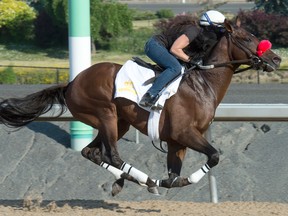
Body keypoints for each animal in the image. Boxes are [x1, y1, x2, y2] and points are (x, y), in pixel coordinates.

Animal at [0, 19, 282, 196]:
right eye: (247, 38)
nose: (276, 58)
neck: (203, 84)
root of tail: (71, 83)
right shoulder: (184, 133)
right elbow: (213, 156)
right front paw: (176, 180)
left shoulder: (176, 142)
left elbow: (173, 176)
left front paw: (170, 181)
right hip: (106, 114)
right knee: (112, 155)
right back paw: (144, 180)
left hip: (118, 123)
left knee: (92, 153)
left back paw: (129, 181)